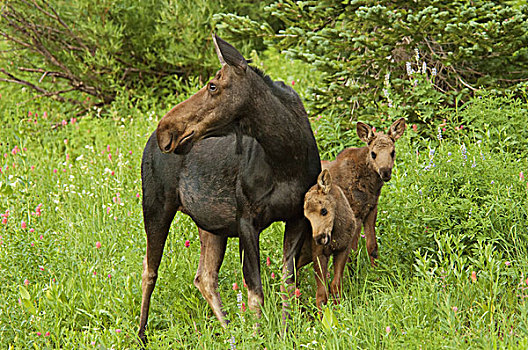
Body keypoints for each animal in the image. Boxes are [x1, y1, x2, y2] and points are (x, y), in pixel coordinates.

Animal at [138, 35, 320, 342]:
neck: (286, 157)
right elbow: (255, 290)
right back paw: (140, 333)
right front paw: (258, 336)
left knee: (204, 276)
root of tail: (148, 143)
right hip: (156, 206)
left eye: (213, 85)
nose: (166, 129)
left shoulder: (297, 217)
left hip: (212, 225)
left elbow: (287, 282)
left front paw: (283, 332)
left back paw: (228, 330)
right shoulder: (246, 218)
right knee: (149, 271)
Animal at [300, 169, 356, 308]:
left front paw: (339, 308)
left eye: (324, 211)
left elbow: (335, 285)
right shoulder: (318, 254)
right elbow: (321, 293)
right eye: (307, 217)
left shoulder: (343, 250)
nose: (319, 238)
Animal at [320, 117, 406, 266]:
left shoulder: (371, 210)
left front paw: (376, 269)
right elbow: (352, 253)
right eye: (373, 153)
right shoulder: (355, 214)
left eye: (393, 152)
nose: (385, 172)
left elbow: (372, 246)